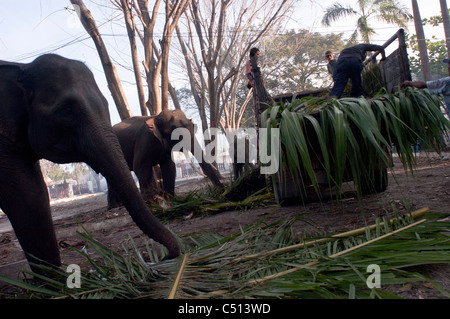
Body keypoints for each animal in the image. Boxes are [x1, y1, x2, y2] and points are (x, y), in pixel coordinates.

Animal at [0, 54, 179, 276]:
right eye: (67, 109)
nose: (164, 256)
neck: (20, 69)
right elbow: (26, 195)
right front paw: (54, 282)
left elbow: (36, 192)